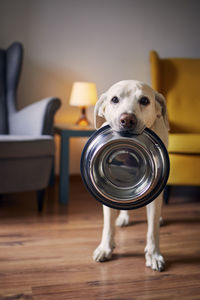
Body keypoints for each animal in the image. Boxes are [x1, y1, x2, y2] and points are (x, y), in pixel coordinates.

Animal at [92, 79, 169, 272]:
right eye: (114, 99)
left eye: (144, 100)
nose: (127, 119)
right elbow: (108, 225)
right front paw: (105, 248)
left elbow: (152, 230)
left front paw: (154, 255)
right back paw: (123, 218)